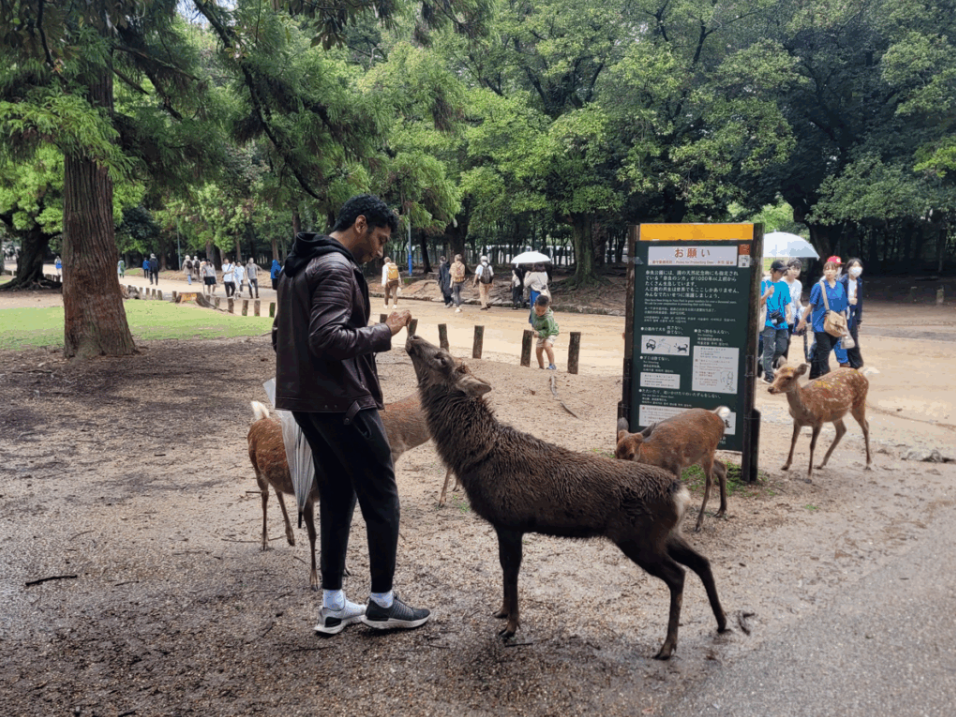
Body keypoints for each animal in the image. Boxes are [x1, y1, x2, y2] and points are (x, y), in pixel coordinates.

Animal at [406, 335, 727, 660]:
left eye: (442, 358)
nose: (414, 337)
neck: (475, 459)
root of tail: (681, 493)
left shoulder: (510, 521)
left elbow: (512, 570)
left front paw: (511, 626)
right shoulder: (502, 523)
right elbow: (504, 568)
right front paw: (502, 612)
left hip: (640, 538)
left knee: (678, 575)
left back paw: (668, 645)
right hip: (666, 534)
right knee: (701, 563)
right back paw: (722, 622)